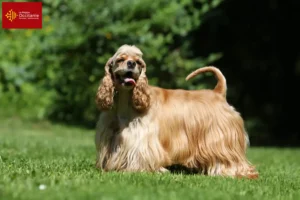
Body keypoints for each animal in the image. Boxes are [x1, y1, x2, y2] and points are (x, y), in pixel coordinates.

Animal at [95, 45, 258, 178]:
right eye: (120, 59)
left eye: (139, 62)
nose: (131, 63)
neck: (126, 101)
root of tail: (218, 93)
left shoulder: (142, 139)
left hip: (222, 140)